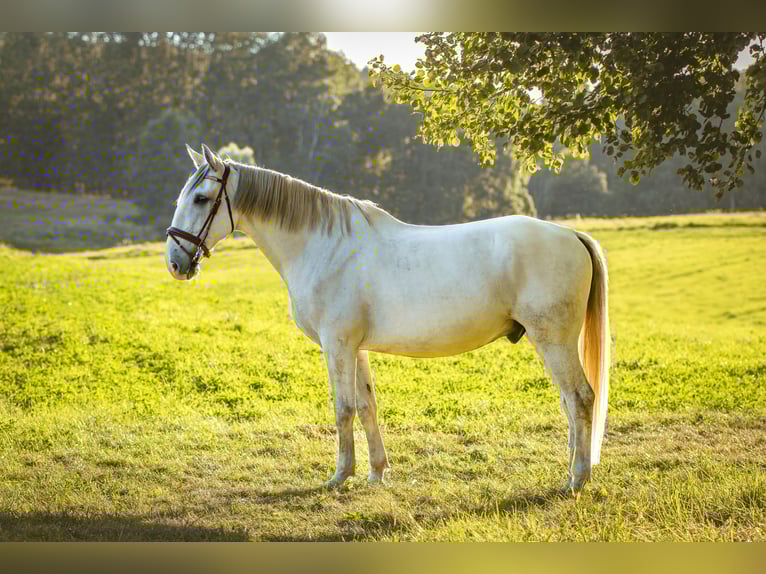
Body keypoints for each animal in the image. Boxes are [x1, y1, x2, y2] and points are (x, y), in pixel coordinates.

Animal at [165, 143, 610, 492]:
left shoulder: (337, 346)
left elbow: (343, 408)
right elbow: (366, 406)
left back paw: (577, 478)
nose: (175, 263)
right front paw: (377, 472)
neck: (324, 245)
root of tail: (570, 235)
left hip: (552, 340)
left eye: (201, 198)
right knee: (569, 402)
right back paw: (573, 468)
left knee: (580, 397)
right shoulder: (355, 348)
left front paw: (340, 476)